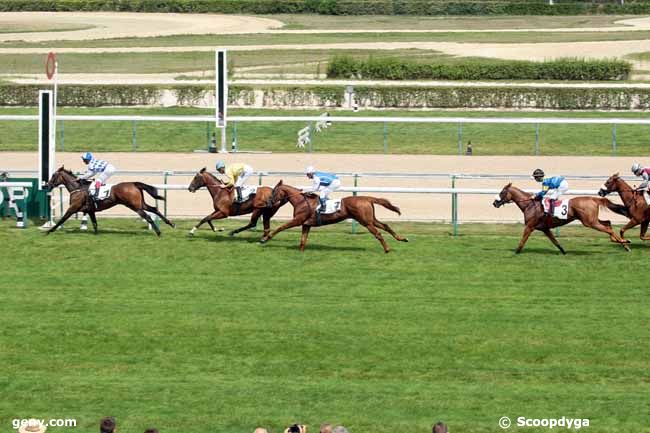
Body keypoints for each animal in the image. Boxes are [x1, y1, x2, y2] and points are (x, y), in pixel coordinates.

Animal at [45, 165, 175, 235]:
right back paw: (171, 224)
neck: (78, 188)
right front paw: (96, 234)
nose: (48, 185)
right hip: (140, 203)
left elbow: (62, 219)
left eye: (53, 175)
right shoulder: (90, 210)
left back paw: (158, 232)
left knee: (147, 216)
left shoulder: (73, 208)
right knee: (154, 209)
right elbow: (94, 223)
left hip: (134, 206)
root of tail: (134, 183)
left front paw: (49, 231)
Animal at [258, 180, 404, 253]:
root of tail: (367, 198)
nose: (268, 202)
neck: (301, 201)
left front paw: (264, 239)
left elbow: (280, 228)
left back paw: (387, 249)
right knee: (385, 226)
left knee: (378, 233)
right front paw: (301, 252)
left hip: (365, 221)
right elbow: (303, 240)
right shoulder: (306, 224)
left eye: (273, 192)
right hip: (370, 219)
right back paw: (402, 238)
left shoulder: (298, 220)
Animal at [492, 182, 628, 253]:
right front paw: (563, 251)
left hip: (589, 222)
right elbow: (555, 241)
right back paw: (622, 243)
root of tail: (594, 199)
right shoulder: (545, 228)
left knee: (608, 228)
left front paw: (516, 252)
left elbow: (523, 240)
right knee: (608, 223)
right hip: (592, 220)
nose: (495, 203)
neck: (529, 205)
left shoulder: (530, 226)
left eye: (502, 192)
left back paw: (625, 243)